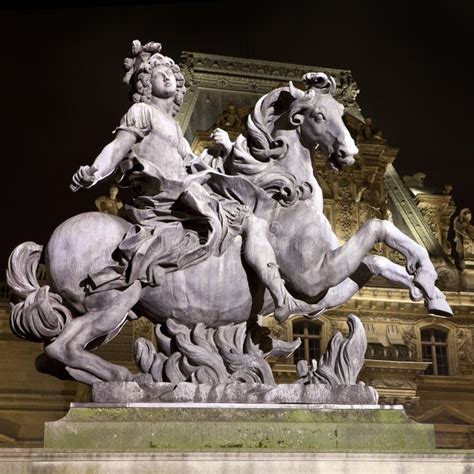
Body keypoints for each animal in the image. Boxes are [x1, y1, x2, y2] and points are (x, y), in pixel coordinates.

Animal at [7, 73, 452, 386]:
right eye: (318, 115)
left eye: (344, 115)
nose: (349, 153)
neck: (285, 190)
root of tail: (53, 239)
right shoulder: (312, 277)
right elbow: (377, 227)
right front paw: (424, 275)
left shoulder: (321, 289)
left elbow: (378, 258)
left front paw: (429, 288)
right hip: (114, 302)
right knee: (62, 347)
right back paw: (125, 381)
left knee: (53, 354)